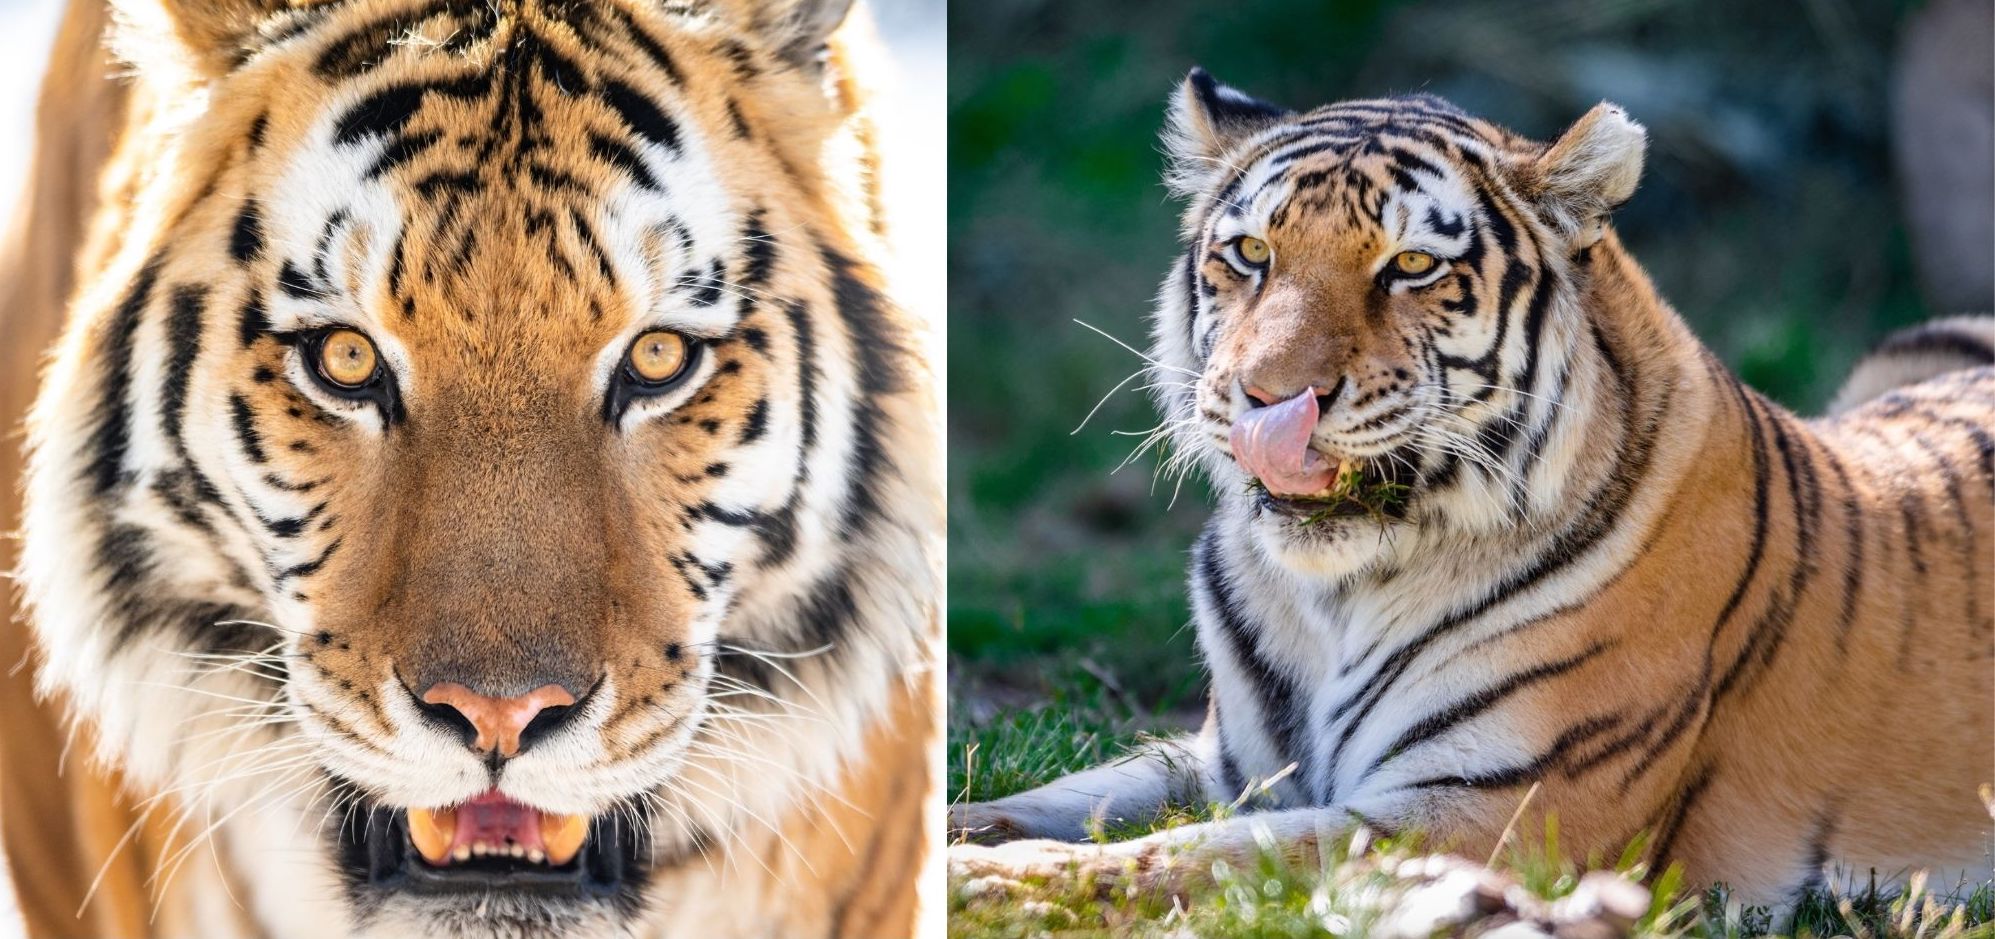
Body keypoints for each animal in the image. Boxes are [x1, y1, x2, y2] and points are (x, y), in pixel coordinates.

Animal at [950, 69, 1995, 911]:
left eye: (1411, 266)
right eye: (1250, 254)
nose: (1268, 396)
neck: (1332, 598)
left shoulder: (1495, 812)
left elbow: (1210, 853)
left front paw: (995, 883)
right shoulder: (1224, 759)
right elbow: (1066, 794)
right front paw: (961, 830)